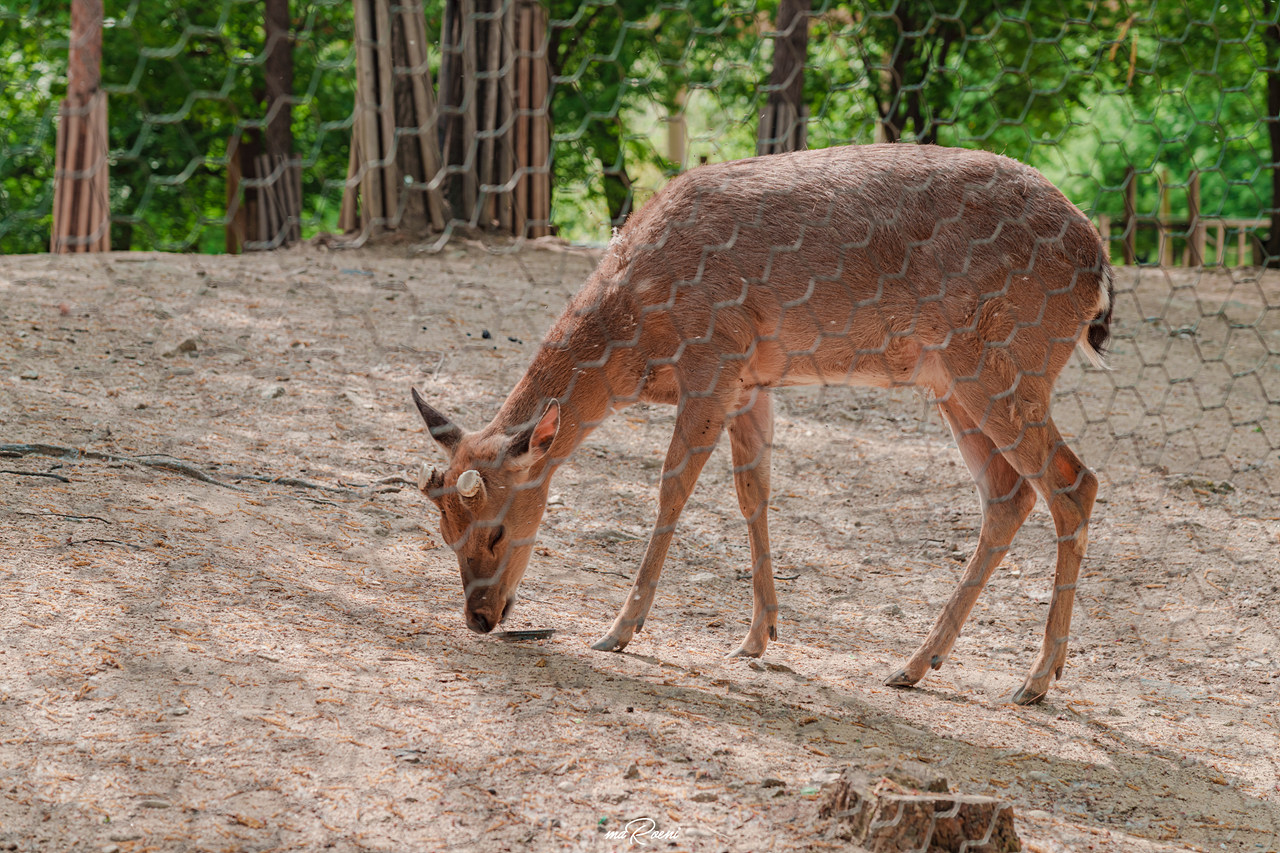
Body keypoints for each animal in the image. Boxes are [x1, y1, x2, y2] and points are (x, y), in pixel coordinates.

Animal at [409, 144, 1111, 701]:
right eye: (444, 532)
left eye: (496, 530)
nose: (479, 618)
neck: (639, 340)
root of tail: (1099, 266)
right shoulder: (752, 382)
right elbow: (754, 493)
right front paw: (758, 636)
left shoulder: (714, 360)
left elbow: (672, 488)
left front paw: (618, 630)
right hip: (952, 381)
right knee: (1009, 492)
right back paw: (915, 665)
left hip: (1004, 364)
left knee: (1074, 481)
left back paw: (1036, 680)